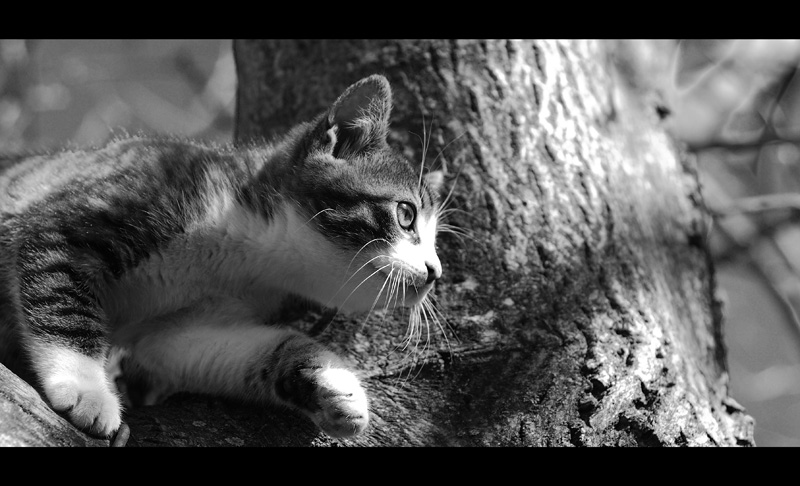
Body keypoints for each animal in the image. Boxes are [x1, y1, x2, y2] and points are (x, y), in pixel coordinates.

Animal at [0, 74, 443, 440]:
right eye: (406, 215)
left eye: (436, 239)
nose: (435, 271)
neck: (243, 253)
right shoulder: (74, 224)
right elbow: (63, 301)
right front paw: (88, 393)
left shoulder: (184, 328)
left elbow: (222, 350)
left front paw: (335, 386)